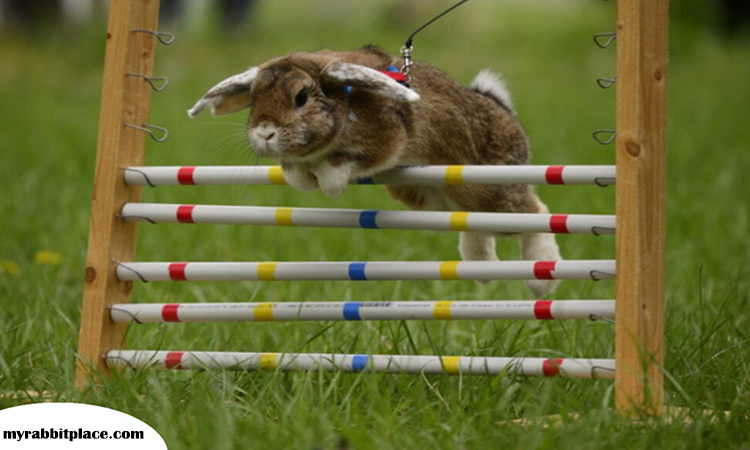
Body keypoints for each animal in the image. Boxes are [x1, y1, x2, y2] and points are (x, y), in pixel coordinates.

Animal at [188, 45, 564, 298]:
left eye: (301, 97)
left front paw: (329, 184)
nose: (265, 132)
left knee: (534, 212)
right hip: (435, 199)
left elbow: (342, 163)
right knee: (474, 227)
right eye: (253, 99)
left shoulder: (384, 143)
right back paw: (481, 270)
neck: (344, 100)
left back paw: (541, 280)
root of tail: (505, 114)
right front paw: (303, 178)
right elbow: (296, 169)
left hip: (487, 190)